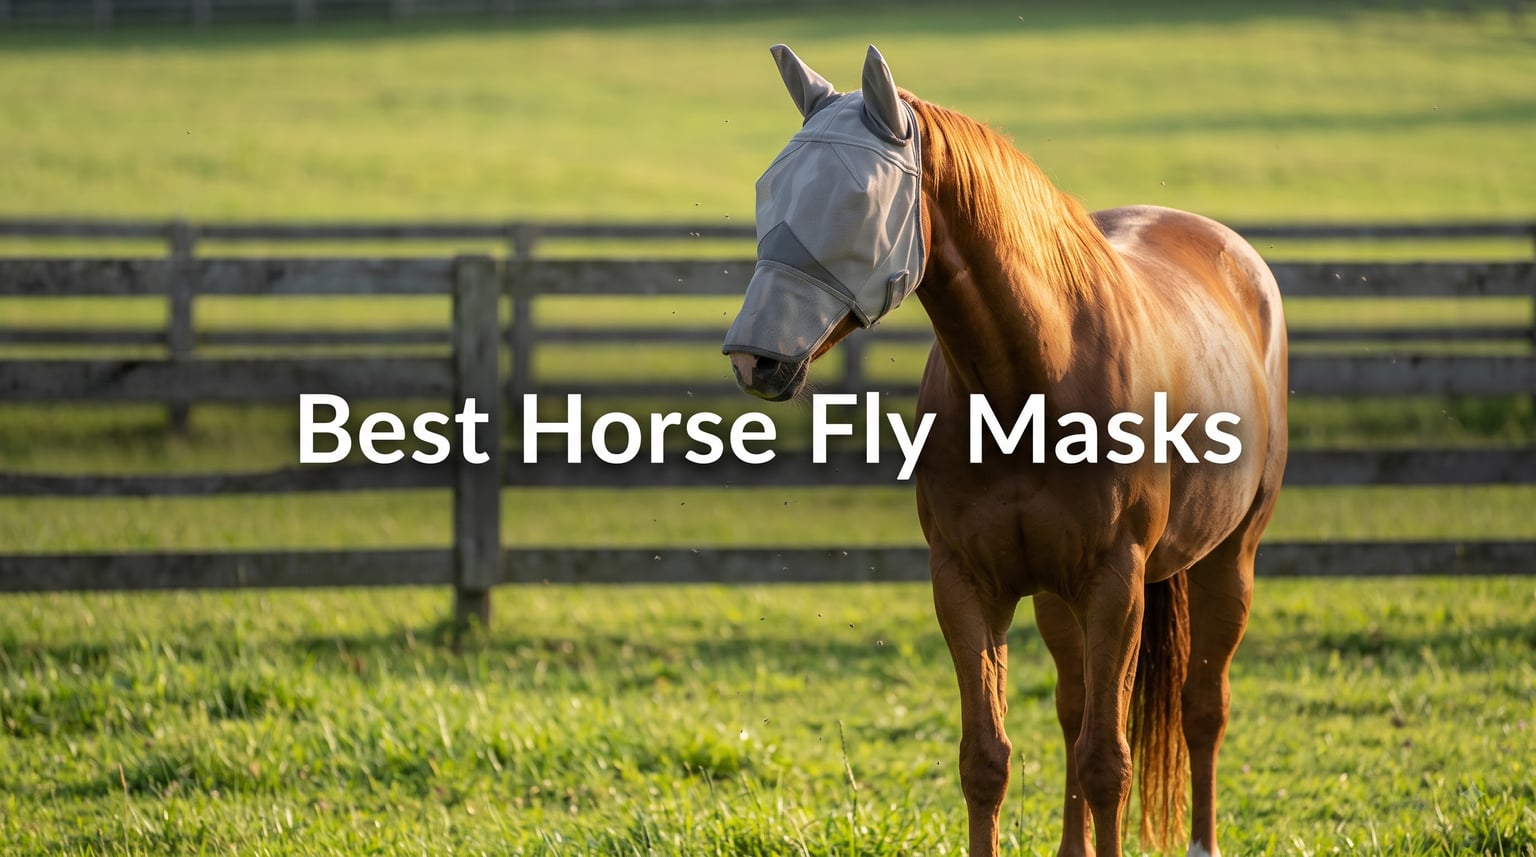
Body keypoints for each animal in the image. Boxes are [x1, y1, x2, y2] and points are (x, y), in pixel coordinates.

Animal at [722, 45, 1287, 857]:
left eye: (858, 201)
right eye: (769, 188)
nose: (753, 359)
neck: (1035, 378)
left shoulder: (1115, 583)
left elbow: (1108, 761)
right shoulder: (966, 583)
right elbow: (988, 759)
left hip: (1229, 558)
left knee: (1202, 706)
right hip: (1058, 596)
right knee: (1075, 704)